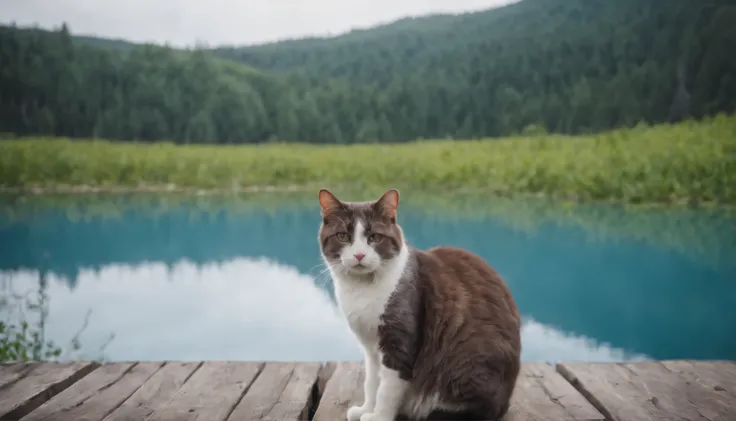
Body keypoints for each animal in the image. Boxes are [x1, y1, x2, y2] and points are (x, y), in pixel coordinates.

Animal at [318, 189, 524, 420]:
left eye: (375, 237)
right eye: (343, 236)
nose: (359, 255)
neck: (362, 290)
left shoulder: (400, 342)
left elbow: (387, 389)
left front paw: (378, 416)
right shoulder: (371, 349)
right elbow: (372, 382)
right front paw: (366, 409)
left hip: (469, 363)